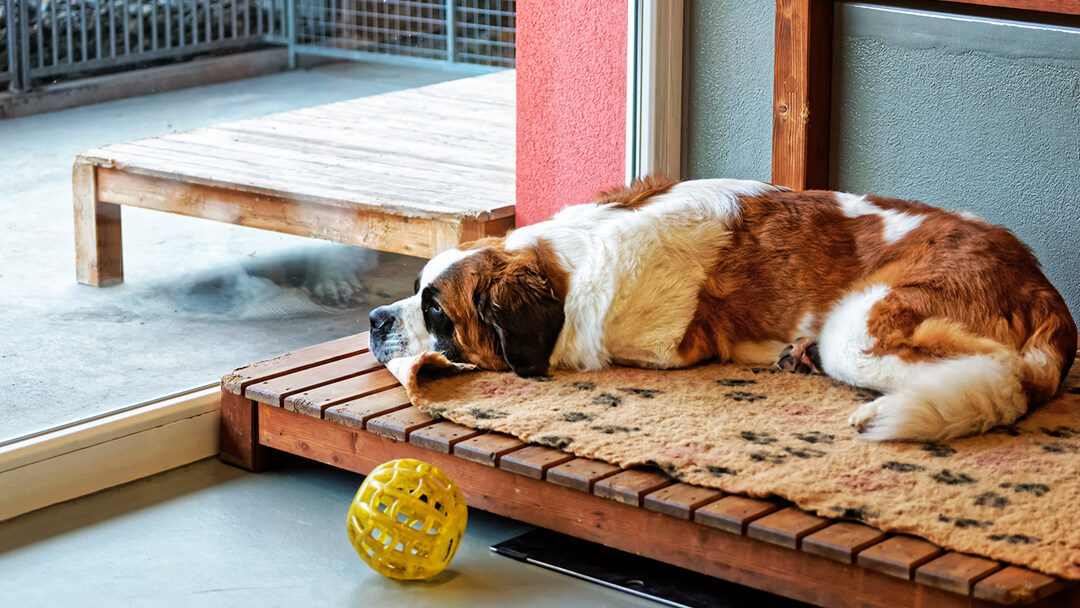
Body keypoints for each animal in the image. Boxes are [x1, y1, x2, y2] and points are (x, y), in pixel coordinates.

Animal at [369, 176, 1071, 442]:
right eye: (413, 289)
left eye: (436, 312)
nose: (376, 321)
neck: (565, 269)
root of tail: (1040, 282)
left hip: (858, 326)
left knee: (999, 376)